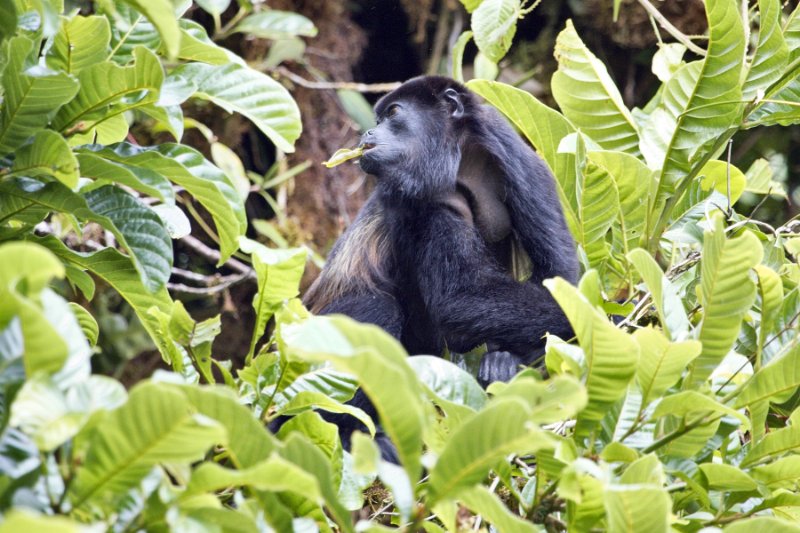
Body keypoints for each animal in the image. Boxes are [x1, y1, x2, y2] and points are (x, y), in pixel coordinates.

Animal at [302, 77, 576, 460]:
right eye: (378, 118)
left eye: (393, 114)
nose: (368, 131)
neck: (463, 162)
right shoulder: (420, 196)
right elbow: (458, 301)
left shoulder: (525, 165)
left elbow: (560, 275)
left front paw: (509, 361)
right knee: (376, 307)